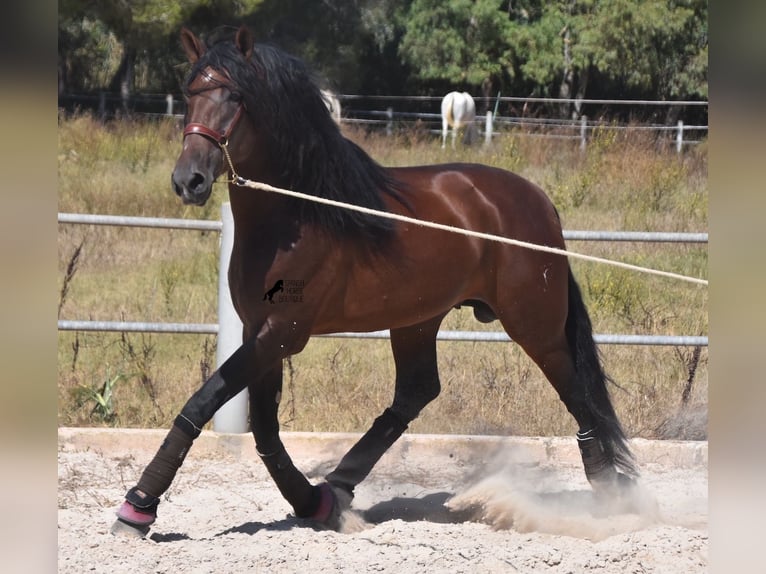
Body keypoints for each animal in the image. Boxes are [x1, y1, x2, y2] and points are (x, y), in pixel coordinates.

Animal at [111, 25, 640, 540]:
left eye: (235, 96)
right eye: (190, 92)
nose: (189, 180)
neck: (296, 215)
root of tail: (538, 201)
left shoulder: (282, 333)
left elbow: (202, 403)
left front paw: (138, 508)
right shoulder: (258, 332)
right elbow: (263, 428)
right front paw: (311, 502)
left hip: (534, 325)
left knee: (578, 394)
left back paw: (609, 491)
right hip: (418, 319)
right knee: (416, 392)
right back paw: (338, 487)